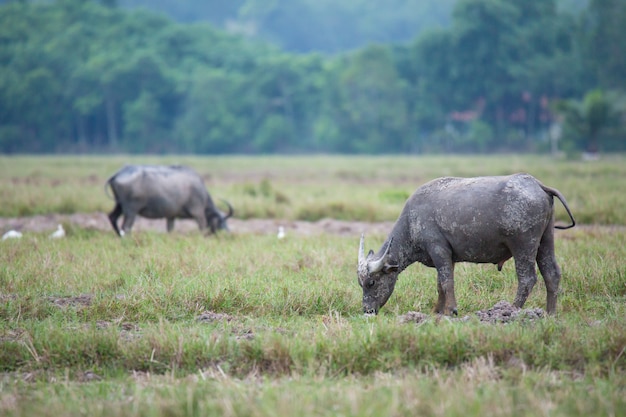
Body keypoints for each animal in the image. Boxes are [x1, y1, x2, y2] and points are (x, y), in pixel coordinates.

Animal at [103, 164, 233, 236]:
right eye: (221, 222)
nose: (228, 234)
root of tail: (118, 174)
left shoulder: (171, 215)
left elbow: (170, 229)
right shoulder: (198, 211)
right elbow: (202, 227)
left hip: (119, 205)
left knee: (112, 217)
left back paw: (120, 236)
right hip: (131, 209)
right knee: (126, 226)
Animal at [356, 172, 576, 316]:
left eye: (371, 283)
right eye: (361, 283)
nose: (368, 311)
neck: (412, 222)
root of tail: (537, 184)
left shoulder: (439, 250)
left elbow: (447, 282)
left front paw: (451, 310)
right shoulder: (448, 257)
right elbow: (440, 284)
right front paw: (438, 311)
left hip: (523, 246)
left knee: (527, 279)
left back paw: (511, 310)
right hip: (545, 241)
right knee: (552, 273)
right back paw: (550, 314)